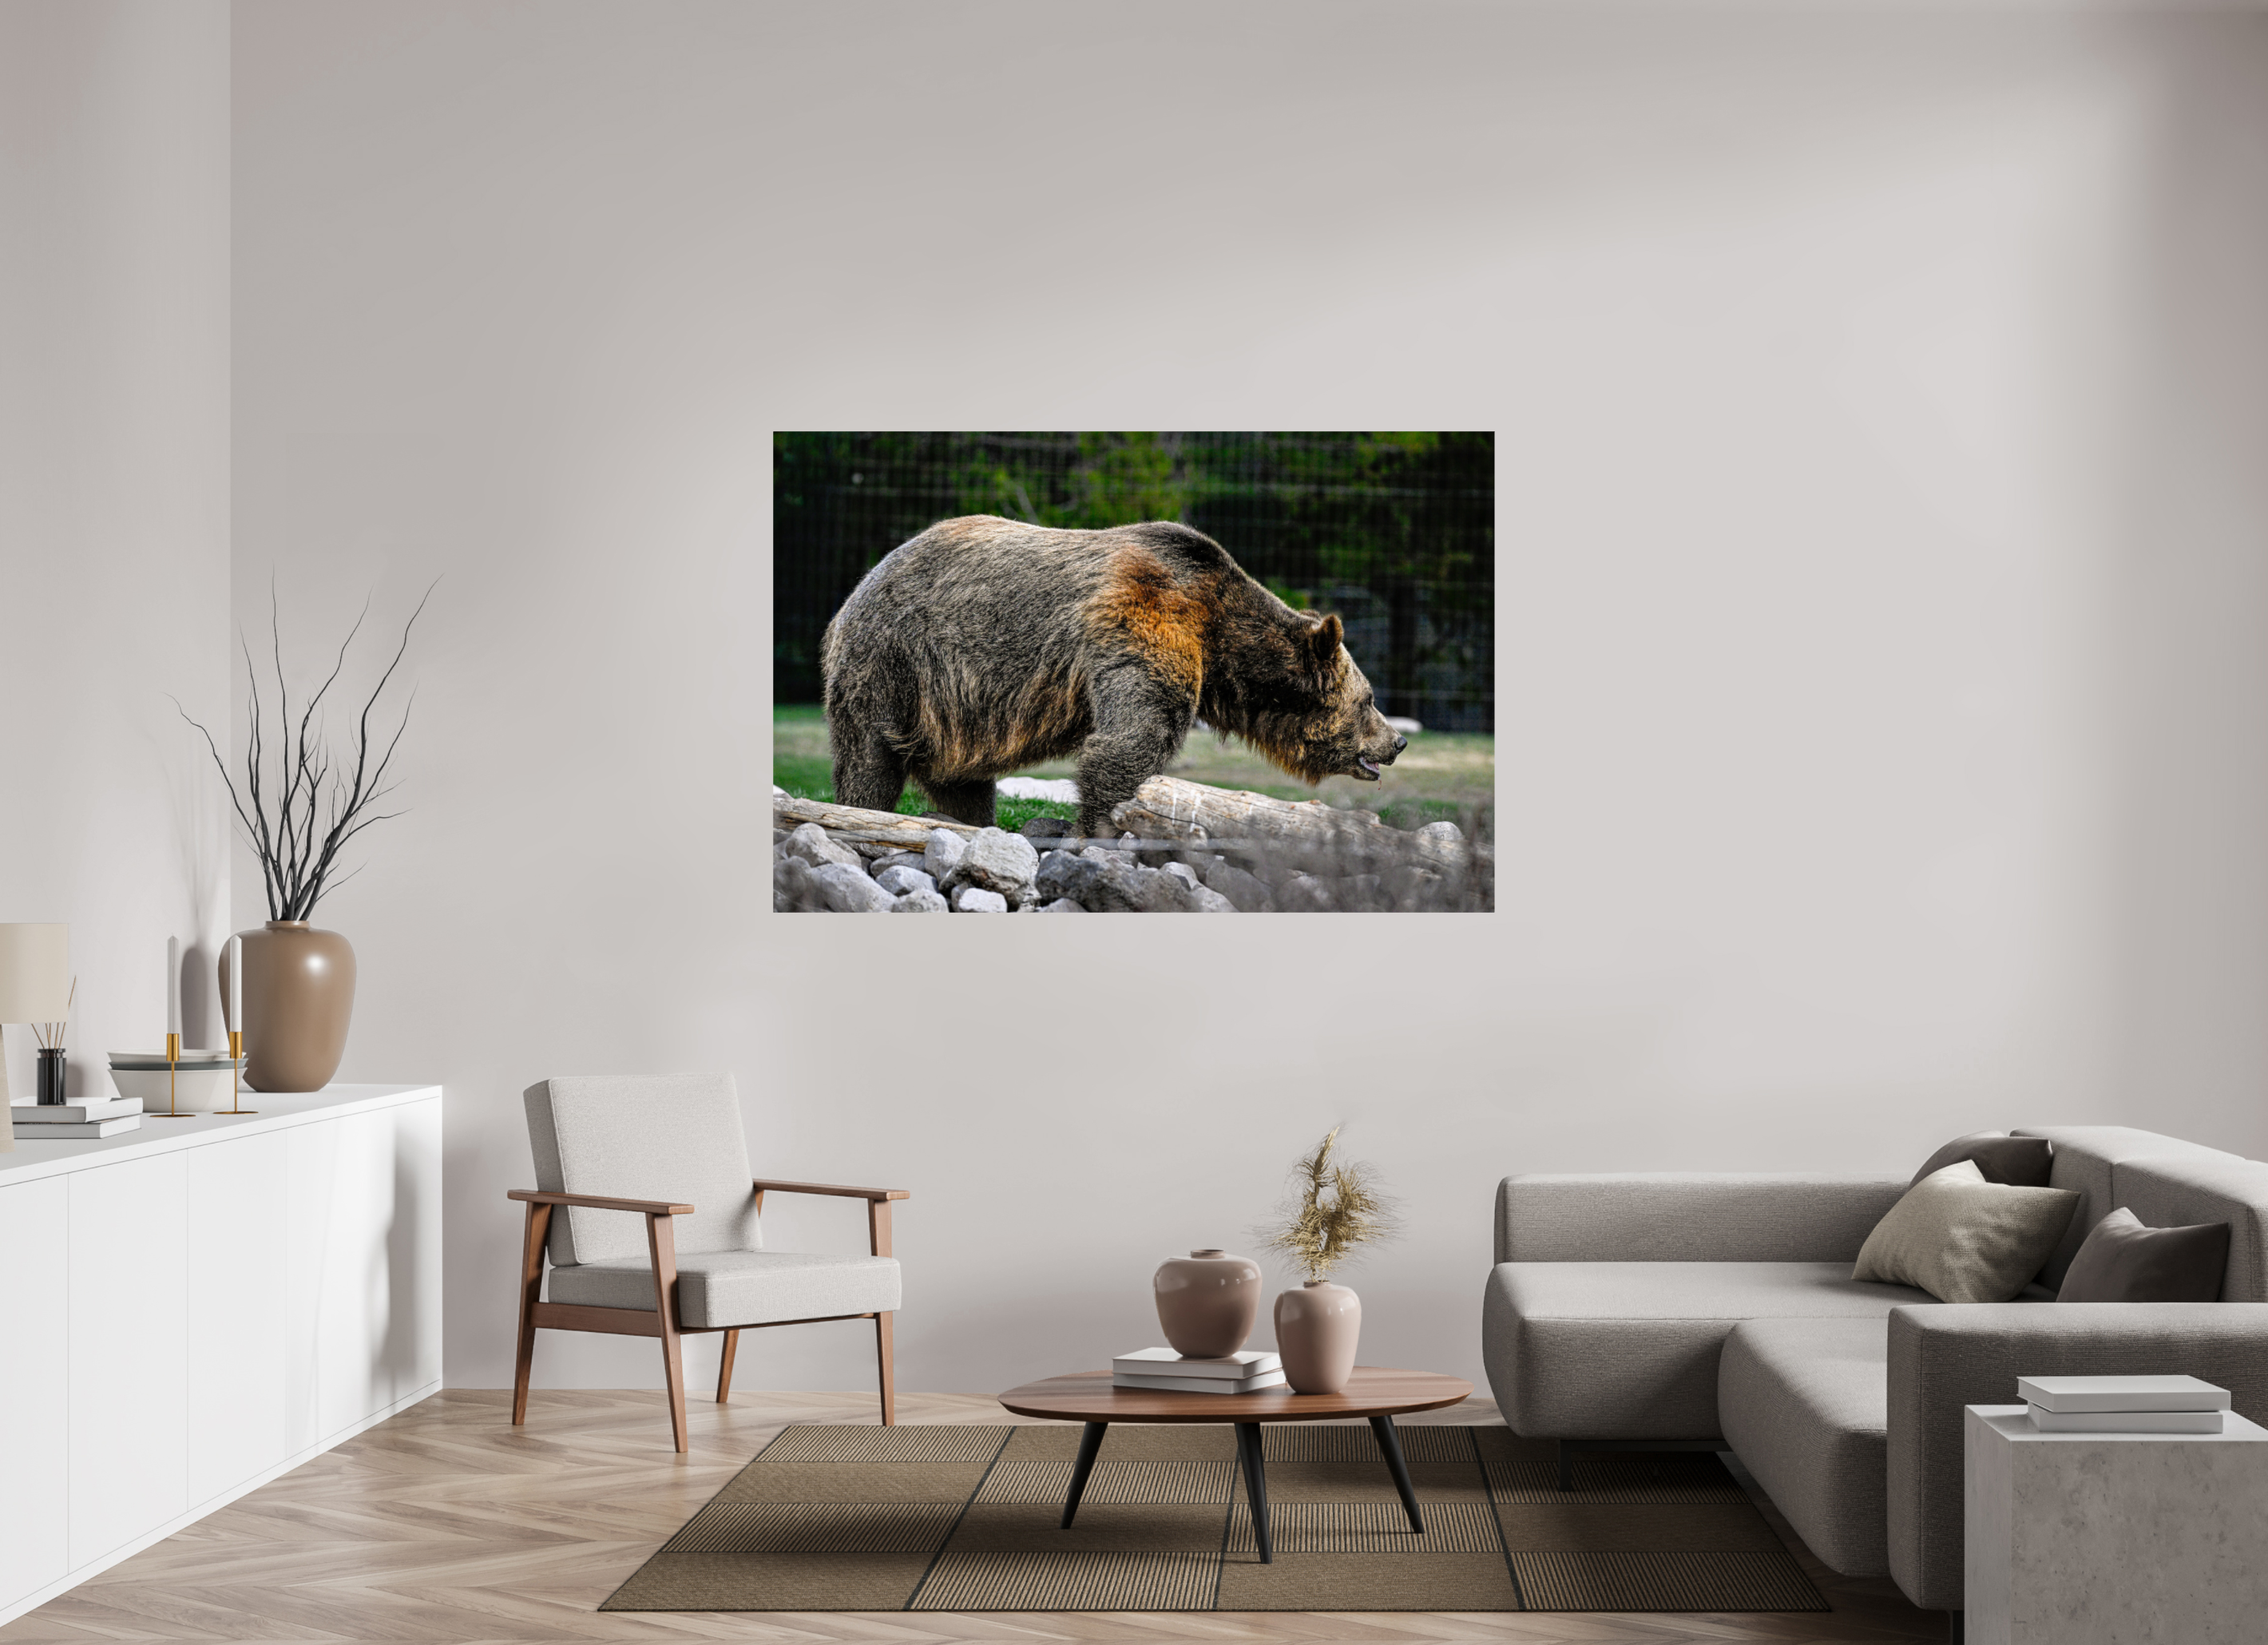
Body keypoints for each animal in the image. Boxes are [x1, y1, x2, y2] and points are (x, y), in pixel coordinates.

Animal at [820, 515, 1407, 839]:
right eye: (1369, 699)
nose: (1397, 742)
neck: (1219, 635)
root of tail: (862, 583)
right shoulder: (1146, 617)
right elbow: (1132, 740)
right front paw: (1106, 826)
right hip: (894, 660)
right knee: (870, 756)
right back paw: (861, 810)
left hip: (955, 706)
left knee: (963, 778)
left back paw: (973, 822)